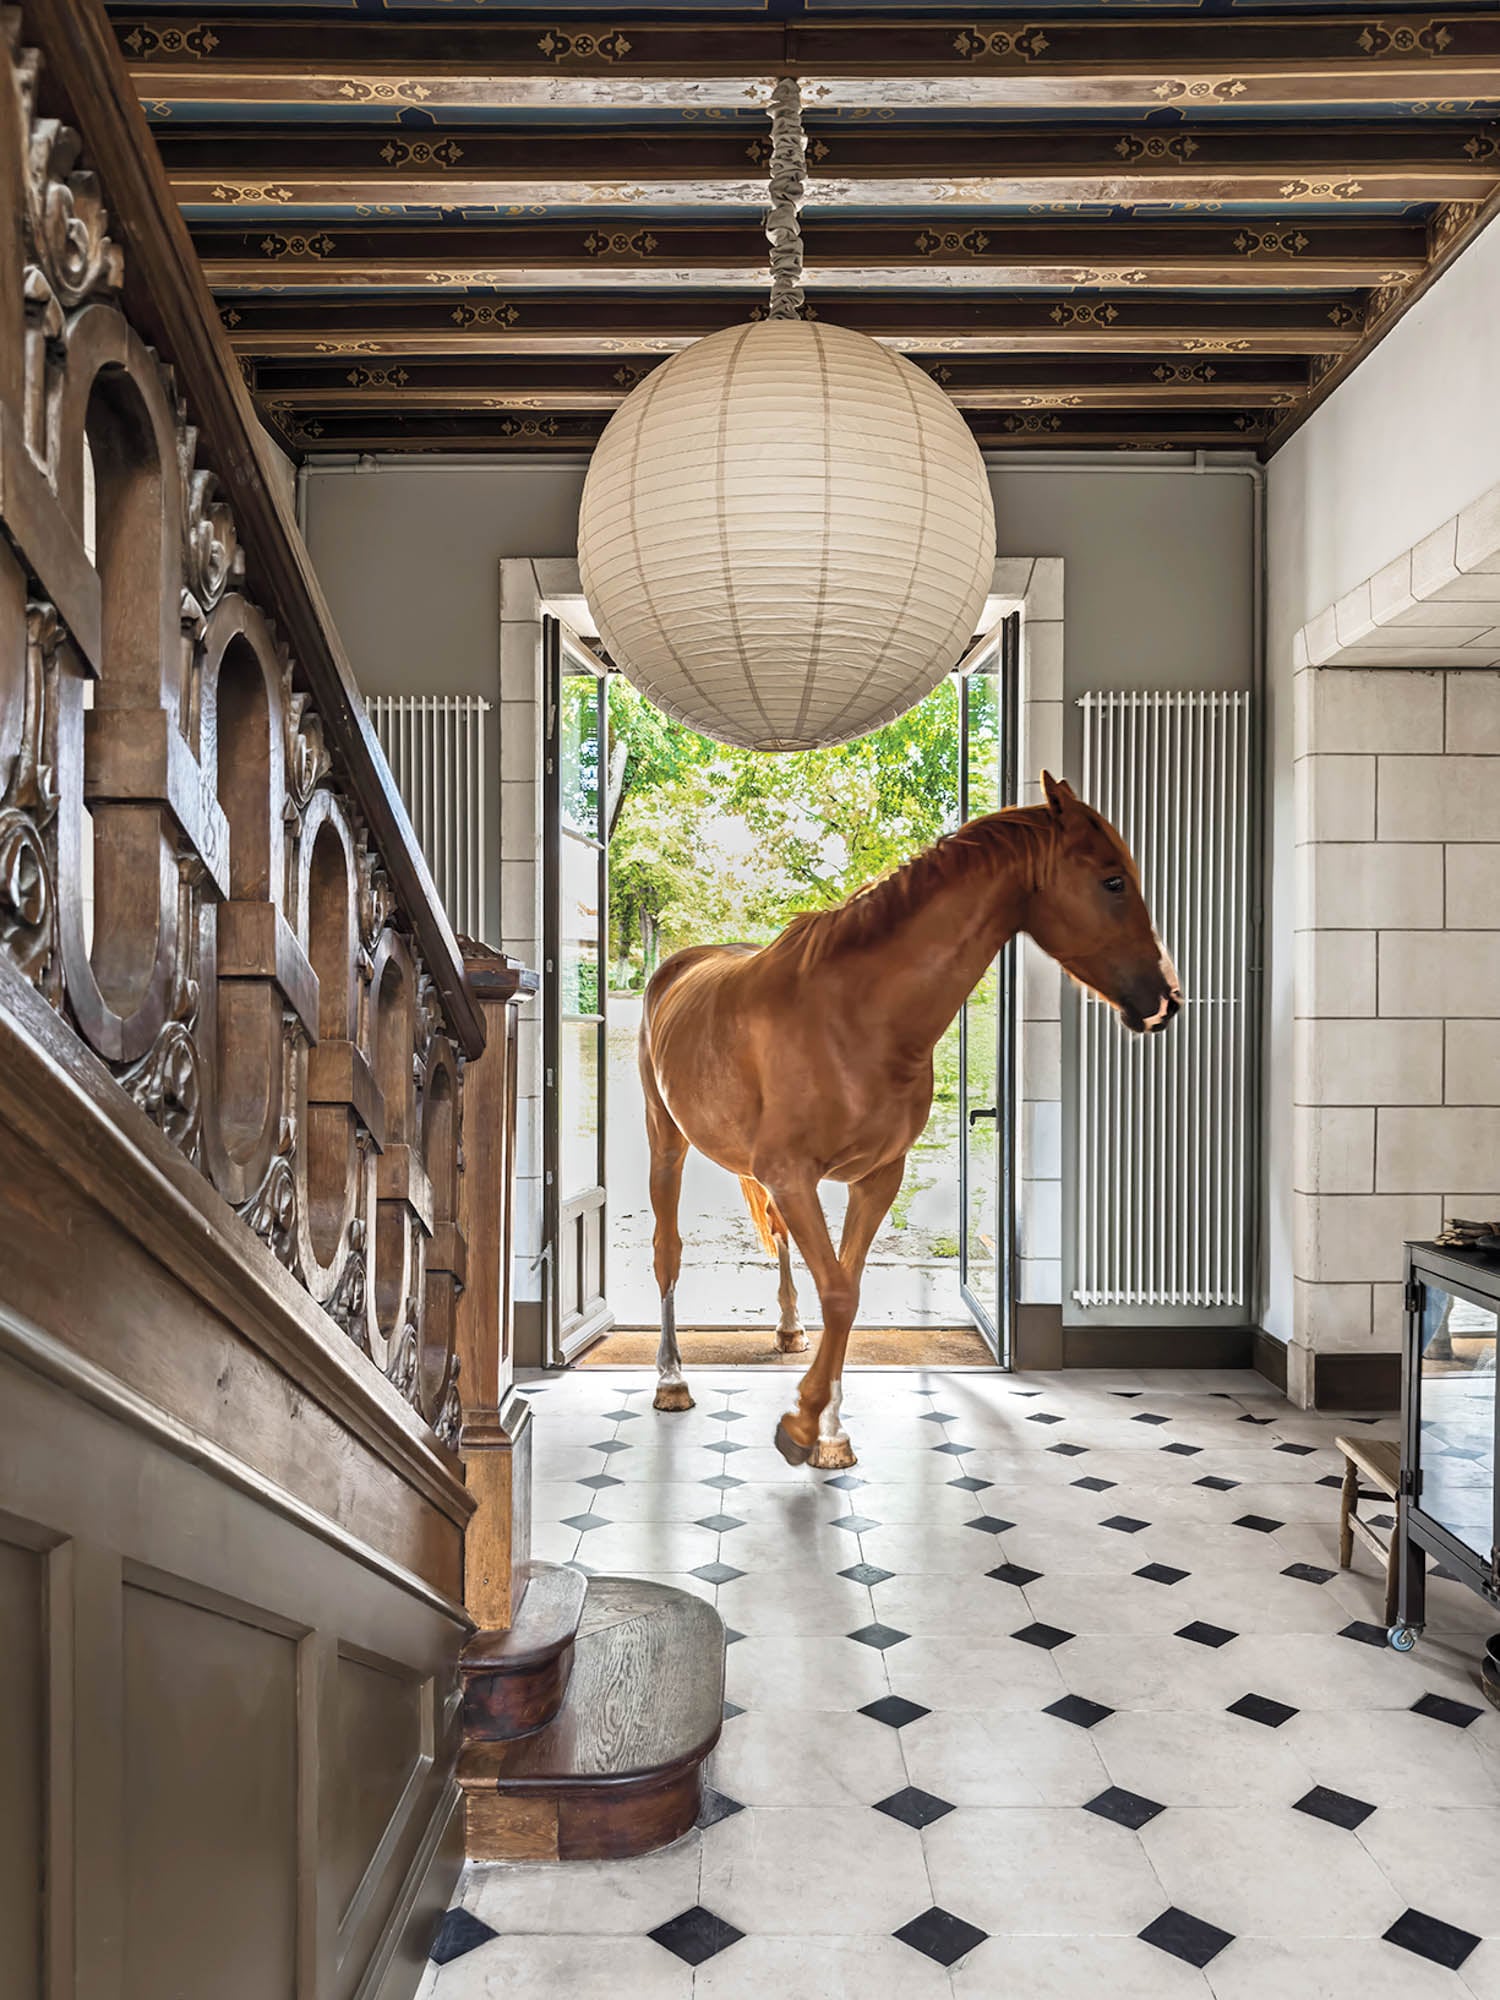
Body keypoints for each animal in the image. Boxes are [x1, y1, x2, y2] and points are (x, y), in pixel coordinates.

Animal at [637, 771, 1180, 1468]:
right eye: (1113, 881)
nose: (1166, 999)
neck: (855, 1016)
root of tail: (677, 967)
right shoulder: (793, 1177)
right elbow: (840, 1292)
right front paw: (802, 1425)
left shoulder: (876, 1179)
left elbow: (846, 1291)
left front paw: (829, 1432)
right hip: (666, 1144)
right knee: (668, 1253)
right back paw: (672, 1379)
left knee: (779, 1244)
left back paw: (786, 1329)